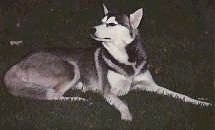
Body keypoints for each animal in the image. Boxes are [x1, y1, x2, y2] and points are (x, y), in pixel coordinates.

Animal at [3, 4, 210, 122]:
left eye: (111, 24)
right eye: (100, 21)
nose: (91, 28)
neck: (127, 60)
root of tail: (18, 63)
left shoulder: (152, 86)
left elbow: (179, 95)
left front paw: (200, 102)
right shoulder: (109, 91)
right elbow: (123, 102)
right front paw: (126, 116)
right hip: (71, 69)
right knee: (52, 96)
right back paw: (79, 99)